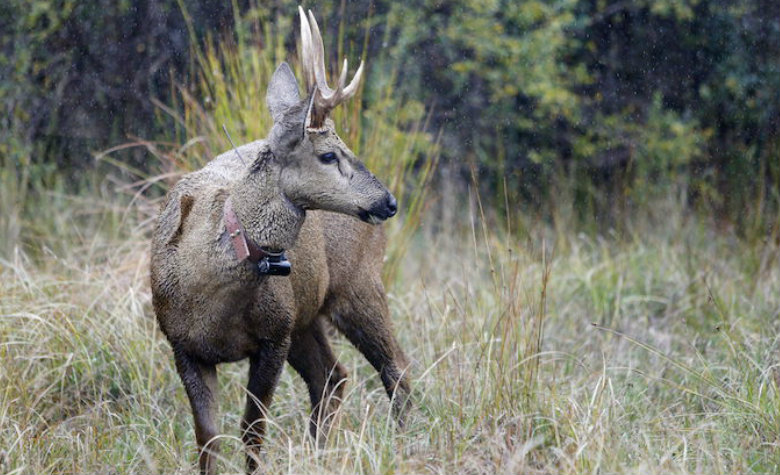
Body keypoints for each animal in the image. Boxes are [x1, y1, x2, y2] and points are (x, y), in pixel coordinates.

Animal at [150, 7, 411, 475]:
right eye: (328, 155)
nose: (389, 201)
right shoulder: (183, 344)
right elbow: (207, 438)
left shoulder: (273, 335)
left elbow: (252, 431)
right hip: (305, 313)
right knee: (332, 376)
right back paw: (318, 453)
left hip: (356, 283)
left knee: (395, 368)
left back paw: (401, 448)